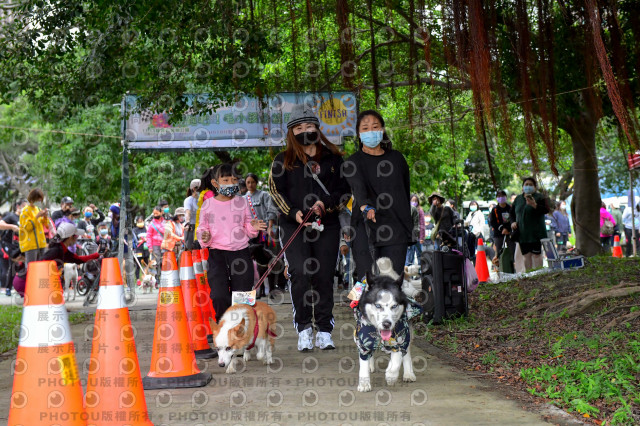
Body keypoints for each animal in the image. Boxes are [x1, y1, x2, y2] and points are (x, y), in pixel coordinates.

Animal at [355, 258, 417, 392]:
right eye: (378, 305)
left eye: (394, 306)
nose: (387, 324)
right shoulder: (362, 339)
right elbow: (364, 359)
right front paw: (364, 383)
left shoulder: (400, 337)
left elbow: (398, 357)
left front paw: (391, 376)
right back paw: (371, 365)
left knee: (407, 352)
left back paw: (408, 373)